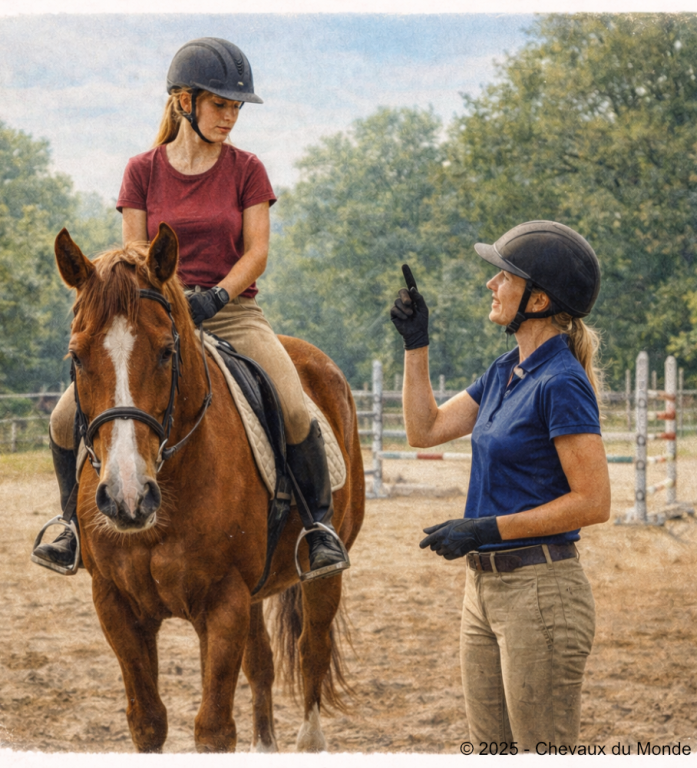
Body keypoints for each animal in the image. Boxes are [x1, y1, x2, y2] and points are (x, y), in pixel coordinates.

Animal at [53, 223, 365, 753]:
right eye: (76, 356)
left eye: (166, 351)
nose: (127, 498)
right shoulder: (116, 604)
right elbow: (148, 721)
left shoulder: (223, 603)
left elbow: (214, 729)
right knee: (262, 663)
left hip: (322, 575)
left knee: (311, 653)